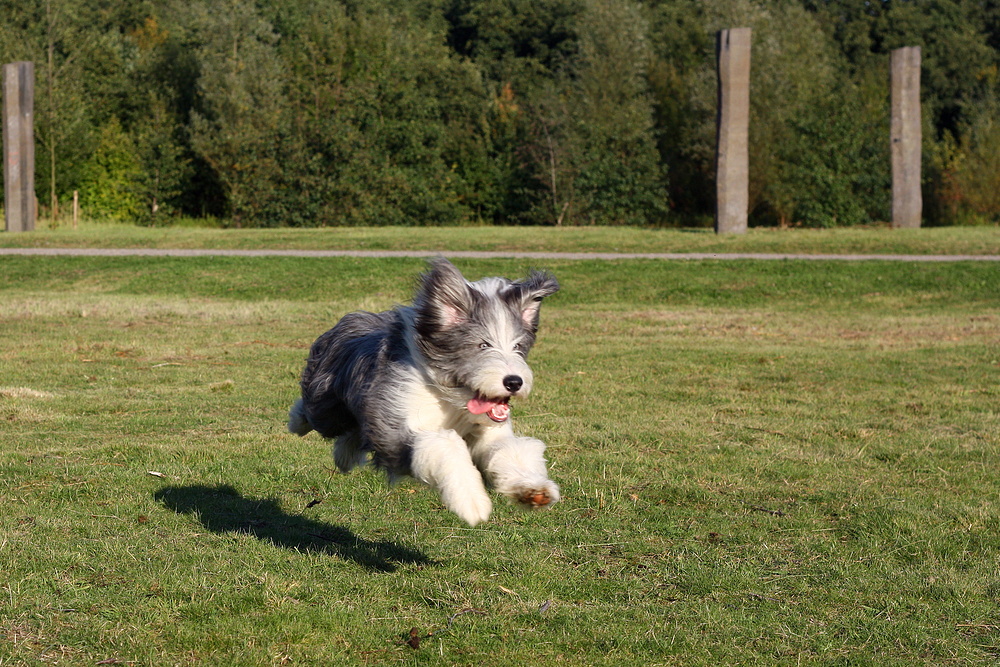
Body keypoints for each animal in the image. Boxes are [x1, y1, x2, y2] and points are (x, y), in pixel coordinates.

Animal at [288, 258, 564, 524]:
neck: (450, 397)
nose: (514, 382)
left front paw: (533, 490)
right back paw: (298, 423)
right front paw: (471, 502)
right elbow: (444, 444)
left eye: (518, 346)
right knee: (315, 412)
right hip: (327, 405)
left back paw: (344, 456)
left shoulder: (488, 433)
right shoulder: (395, 425)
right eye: (482, 345)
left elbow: (507, 449)